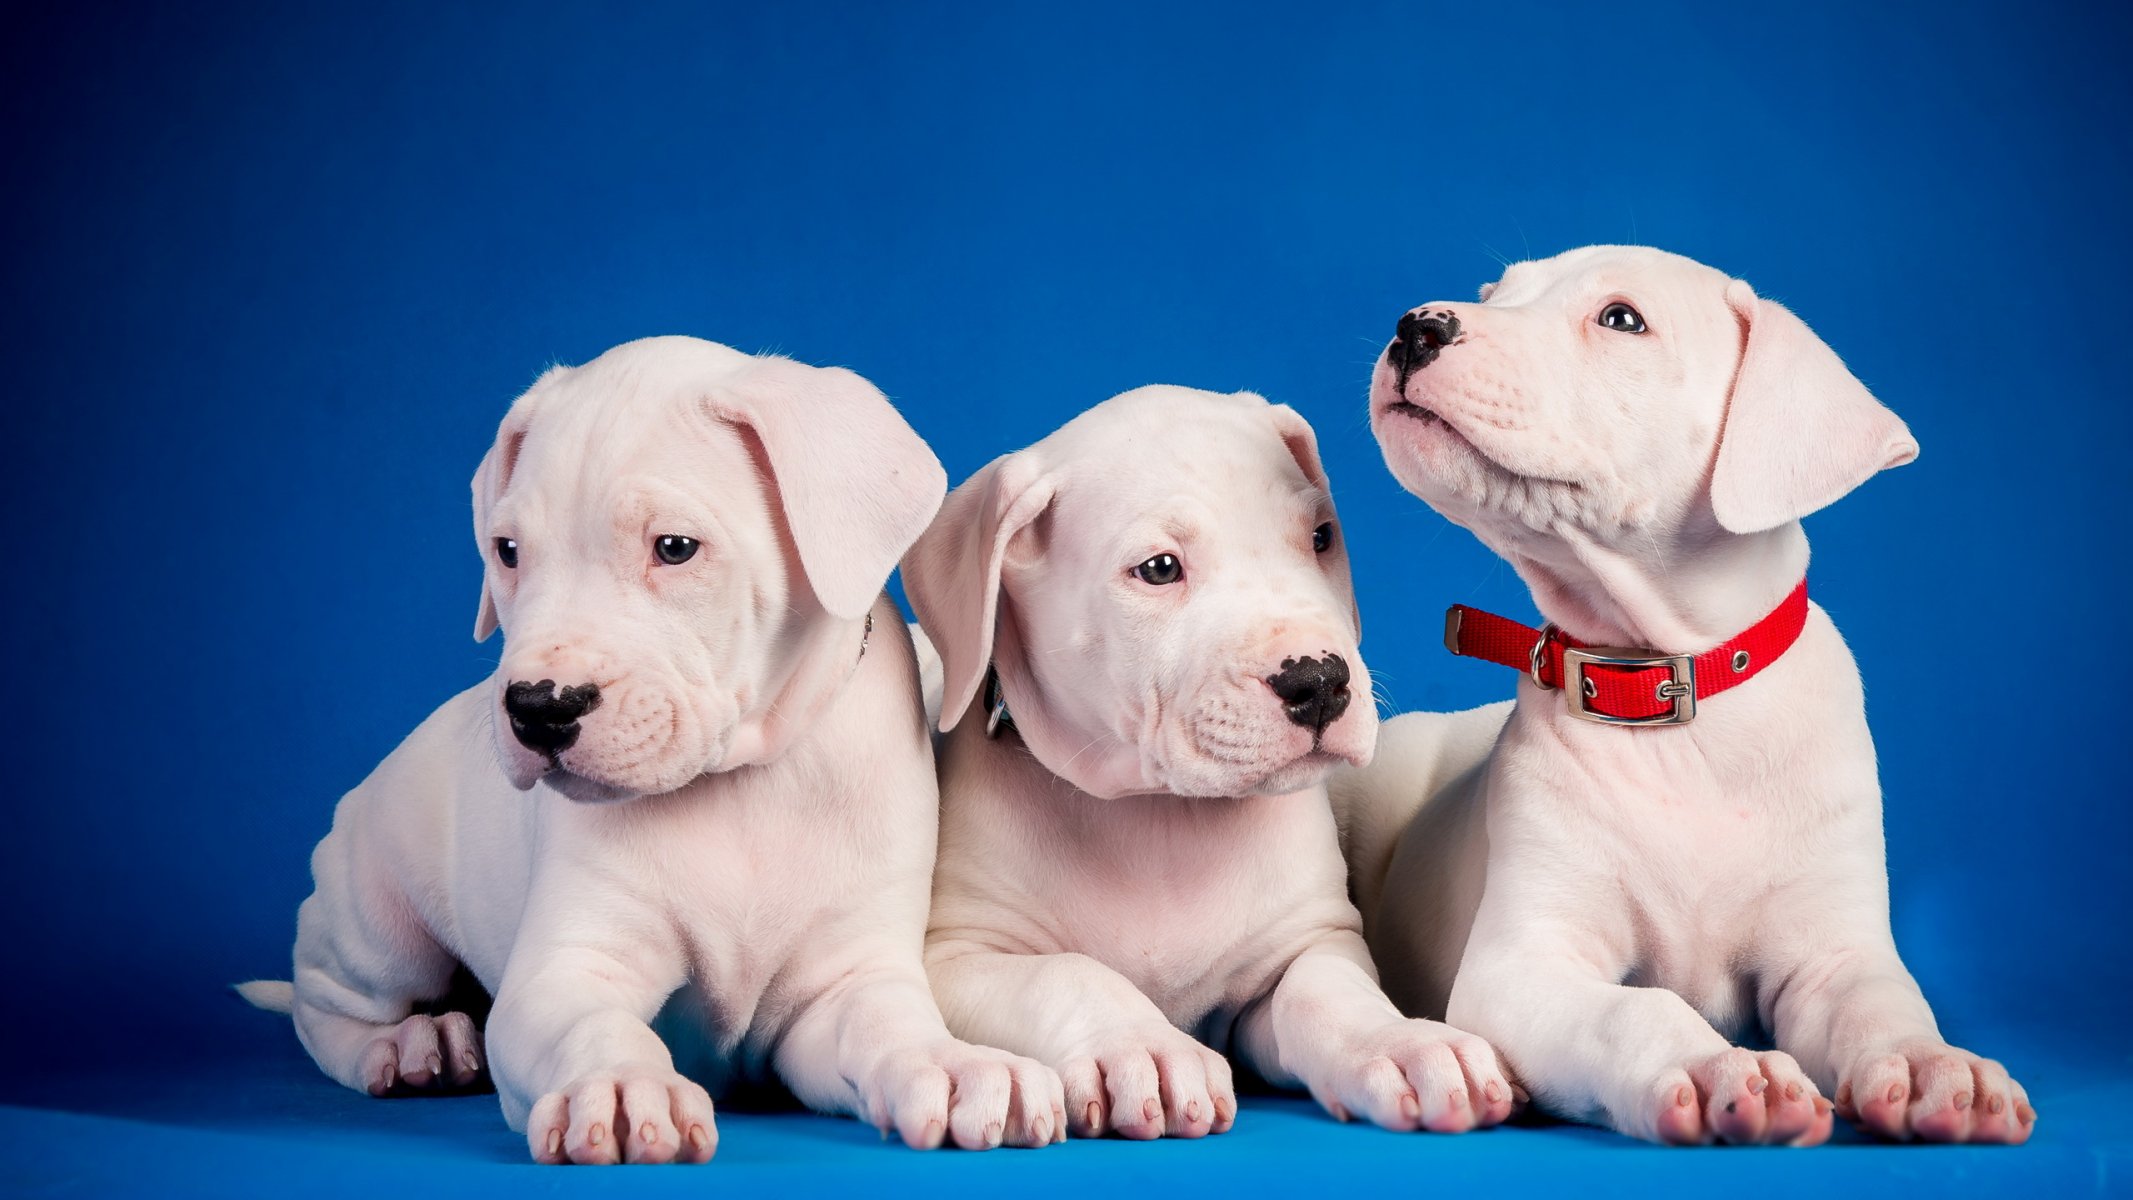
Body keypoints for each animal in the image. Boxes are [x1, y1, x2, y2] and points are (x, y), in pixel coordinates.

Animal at [244, 338, 1066, 1168]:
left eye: (674, 549)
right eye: (507, 552)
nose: (538, 707)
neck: (737, 784)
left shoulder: (843, 984)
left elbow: (890, 1027)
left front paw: (957, 1067)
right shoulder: (564, 972)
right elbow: (590, 1023)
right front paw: (617, 1085)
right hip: (378, 924)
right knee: (325, 1005)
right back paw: (411, 1046)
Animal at [900, 387, 1518, 1142]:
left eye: (1320, 537)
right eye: (1160, 569)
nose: (1319, 681)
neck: (1159, 820)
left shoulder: (1309, 944)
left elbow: (1329, 995)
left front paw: (1404, 1043)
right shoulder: (956, 957)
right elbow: (1067, 974)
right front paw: (1145, 1047)